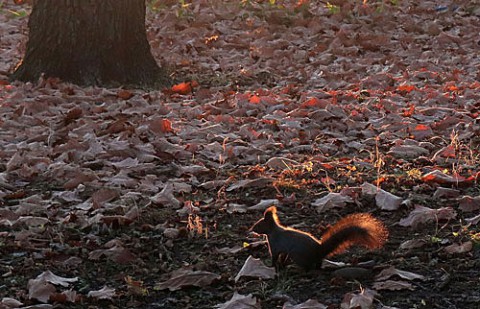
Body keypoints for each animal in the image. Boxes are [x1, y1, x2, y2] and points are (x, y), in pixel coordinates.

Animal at [249, 207, 388, 270]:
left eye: (259, 224)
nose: (252, 229)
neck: (273, 231)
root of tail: (318, 251)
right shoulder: (283, 249)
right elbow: (283, 257)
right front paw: (281, 265)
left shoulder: (275, 245)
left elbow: (275, 256)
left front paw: (272, 266)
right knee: (317, 264)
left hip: (298, 255)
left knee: (308, 268)